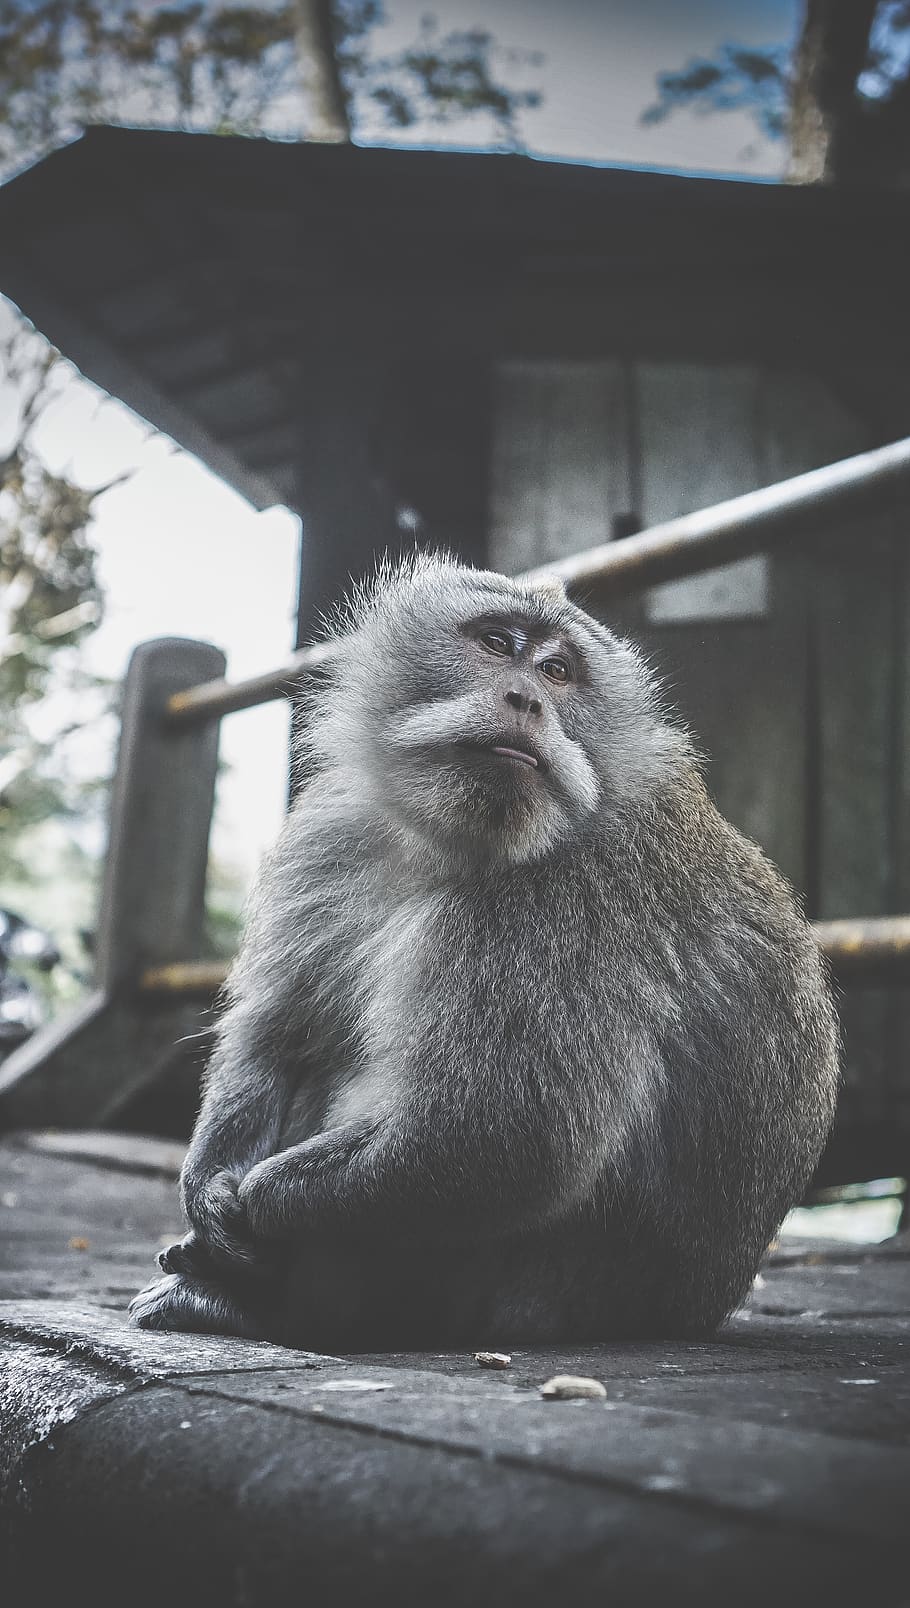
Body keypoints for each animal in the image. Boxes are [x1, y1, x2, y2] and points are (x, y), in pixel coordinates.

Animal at [129, 555, 839, 1350]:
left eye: (559, 670)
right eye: (498, 643)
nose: (526, 698)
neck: (448, 842)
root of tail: (690, 1313)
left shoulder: (565, 901)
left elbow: (498, 1140)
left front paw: (253, 1209)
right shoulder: (331, 827)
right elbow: (279, 1030)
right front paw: (209, 1187)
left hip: (517, 1295)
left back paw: (259, 1304)